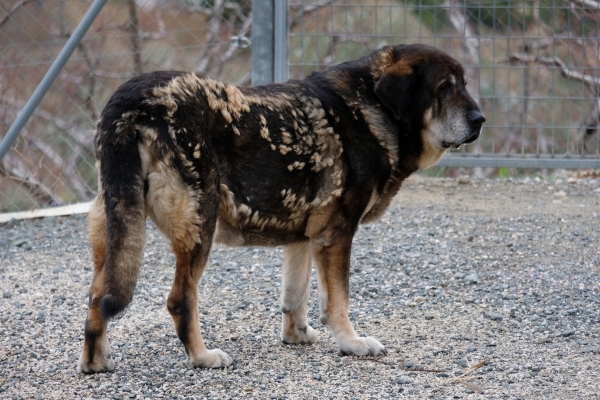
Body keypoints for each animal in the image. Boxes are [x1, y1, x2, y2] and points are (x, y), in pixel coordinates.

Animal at [77, 43, 486, 372]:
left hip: (115, 227)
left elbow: (296, 296)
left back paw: (95, 361)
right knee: (181, 299)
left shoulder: (303, 239)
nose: (480, 120)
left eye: (465, 83)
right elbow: (338, 301)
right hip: (199, 226)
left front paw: (297, 335)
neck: (371, 108)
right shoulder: (336, 237)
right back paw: (202, 356)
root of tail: (129, 101)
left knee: (97, 296)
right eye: (445, 88)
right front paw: (351, 342)